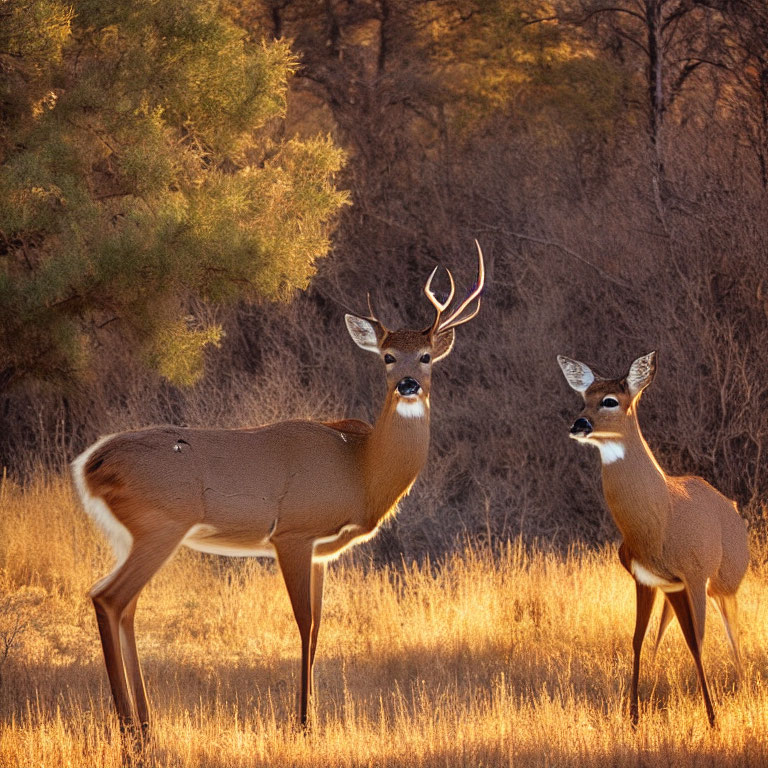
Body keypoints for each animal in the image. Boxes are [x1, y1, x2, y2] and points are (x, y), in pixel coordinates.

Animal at [70, 243, 480, 736]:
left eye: (425, 355)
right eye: (386, 355)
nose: (408, 383)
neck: (359, 468)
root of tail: (89, 464)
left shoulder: (322, 552)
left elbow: (319, 627)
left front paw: (313, 716)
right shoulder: (293, 533)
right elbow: (304, 623)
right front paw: (303, 722)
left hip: (128, 534)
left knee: (123, 604)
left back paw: (147, 723)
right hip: (159, 524)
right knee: (108, 597)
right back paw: (130, 728)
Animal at [560, 352, 752, 728]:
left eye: (610, 400)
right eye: (583, 398)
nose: (579, 424)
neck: (659, 521)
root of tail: (734, 510)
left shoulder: (694, 575)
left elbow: (698, 642)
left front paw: (713, 719)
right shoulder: (647, 579)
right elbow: (638, 640)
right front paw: (634, 715)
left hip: (725, 585)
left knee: (733, 637)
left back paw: (742, 688)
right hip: (675, 592)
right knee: (664, 636)